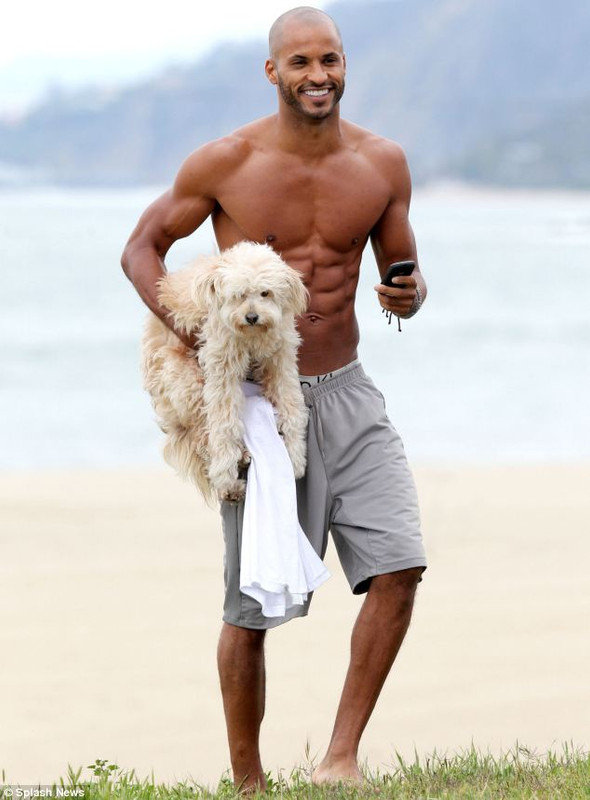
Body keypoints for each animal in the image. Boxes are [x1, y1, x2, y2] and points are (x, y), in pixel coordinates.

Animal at [142, 241, 312, 504]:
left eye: (265, 293)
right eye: (239, 294)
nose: (251, 317)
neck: (252, 336)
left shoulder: (281, 362)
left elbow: (292, 407)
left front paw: (295, 458)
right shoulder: (221, 368)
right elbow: (224, 423)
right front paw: (224, 472)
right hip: (187, 381)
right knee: (203, 433)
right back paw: (231, 478)